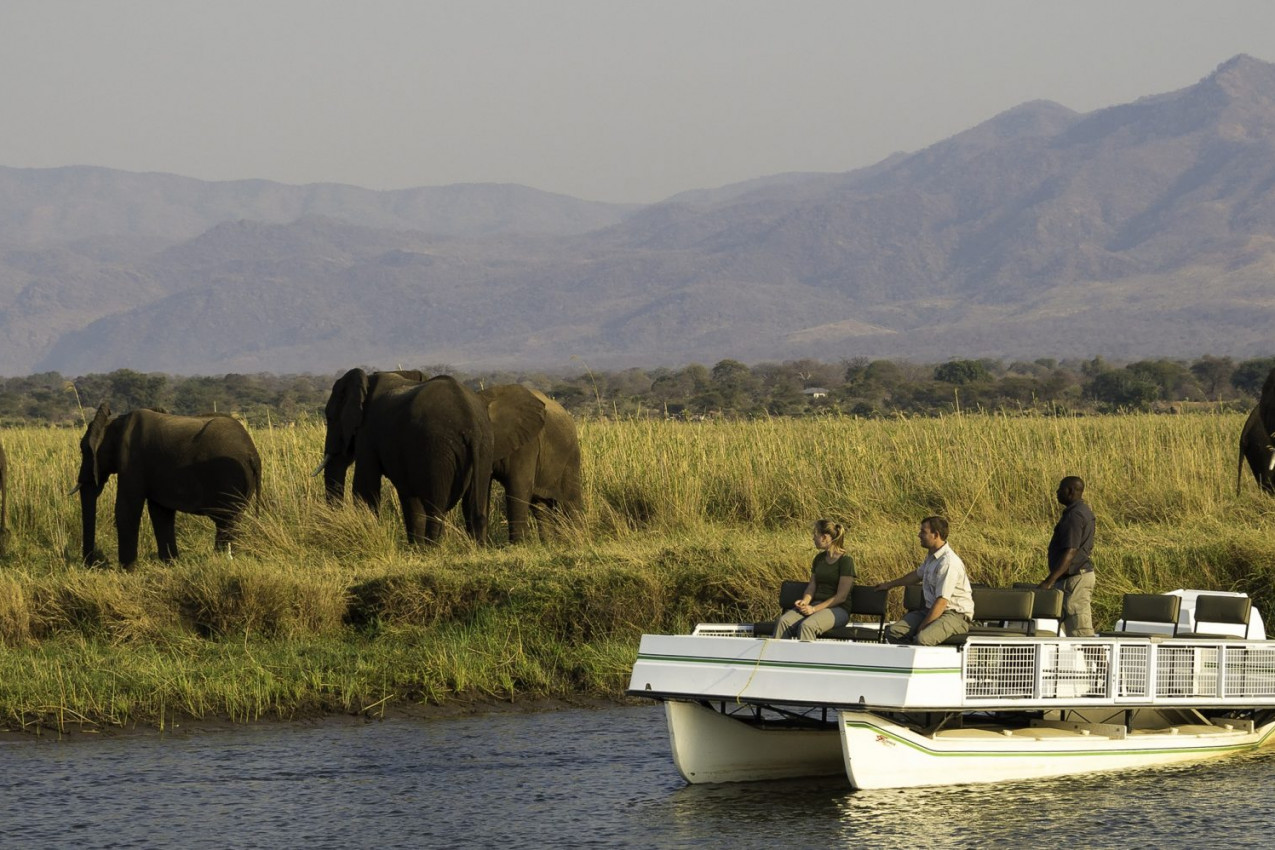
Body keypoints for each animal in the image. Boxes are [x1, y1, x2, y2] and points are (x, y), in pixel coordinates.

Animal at [73, 405, 261, 568]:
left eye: (83, 450)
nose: (91, 565)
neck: (114, 423)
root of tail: (253, 455)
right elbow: (160, 513)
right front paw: (171, 564)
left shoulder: (131, 460)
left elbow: (126, 508)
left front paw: (128, 570)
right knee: (233, 521)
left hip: (227, 477)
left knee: (226, 521)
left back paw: (220, 560)